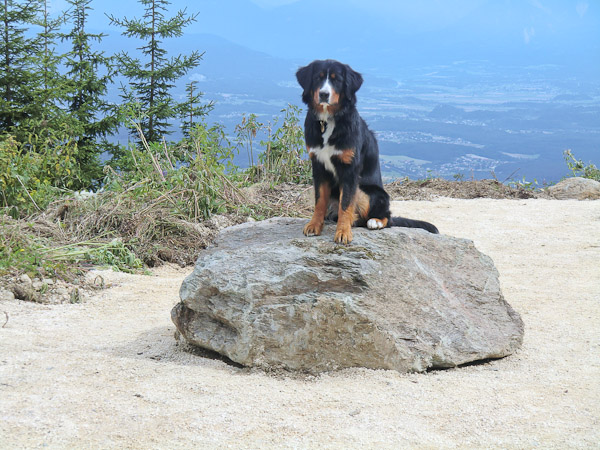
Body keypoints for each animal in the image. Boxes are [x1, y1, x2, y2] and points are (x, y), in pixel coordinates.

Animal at [296, 59, 439, 244]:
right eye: (317, 78)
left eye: (337, 80)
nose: (324, 94)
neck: (328, 121)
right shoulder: (319, 166)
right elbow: (319, 201)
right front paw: (314, 225)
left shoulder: (350, 170)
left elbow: (346, 204)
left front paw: (343, 232)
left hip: (369, 192)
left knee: (387, 217)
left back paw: (374, 221)